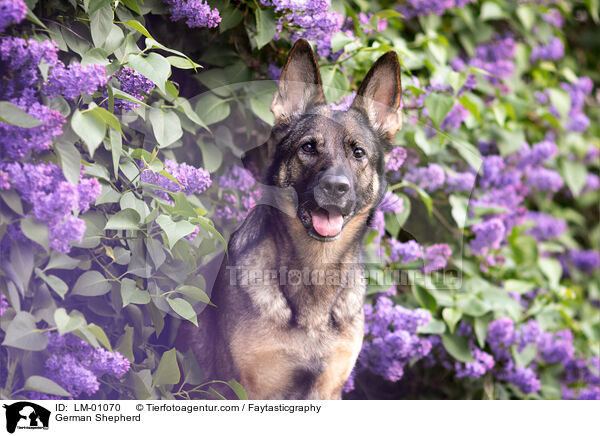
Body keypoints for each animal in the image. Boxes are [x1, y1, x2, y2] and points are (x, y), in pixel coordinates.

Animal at [179, 38, 404, 398]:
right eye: (309, 147)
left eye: (358, 153)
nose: (336, 188)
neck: (315, 270)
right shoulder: (243, 388)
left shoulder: (328, 389)